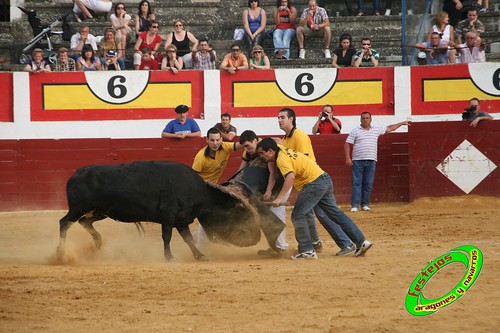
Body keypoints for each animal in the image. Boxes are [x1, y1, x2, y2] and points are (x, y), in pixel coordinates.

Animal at [57, 160, 286, 260]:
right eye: (238, 212)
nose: (253, 237)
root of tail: (76, 173)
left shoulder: (181, 219)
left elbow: (188, 238)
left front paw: (199, 255)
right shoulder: (168, 214)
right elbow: (166, 236)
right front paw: (169, 256)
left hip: (98, 211)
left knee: (84, 222)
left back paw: (97, 243)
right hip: (79, 208)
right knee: (64, 223)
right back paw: (60, 254)